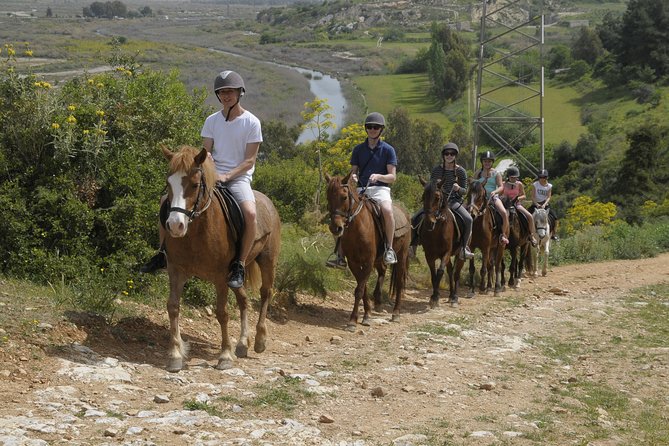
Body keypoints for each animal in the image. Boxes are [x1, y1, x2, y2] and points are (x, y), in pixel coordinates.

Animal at [160, 145, 280, 372]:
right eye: (168, 183)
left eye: (195, 184)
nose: (175, 225)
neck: (197, 231)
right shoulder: (176, 269)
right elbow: (173, 307)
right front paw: (175, 355)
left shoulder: (219, 276)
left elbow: (222, 313)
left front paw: (224, 356)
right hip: (235, 277)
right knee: (244, 300)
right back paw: (242, 343)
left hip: (267, 261)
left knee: (265, 293)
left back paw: (260, 340)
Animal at [326, 173, 410, 332]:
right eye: (328, 197)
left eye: (344, 197)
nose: (336, 228)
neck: (358, 227)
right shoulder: (354, 262)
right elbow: (362, 287)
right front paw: (367, 314)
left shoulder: (368, 261)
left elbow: (359, 289)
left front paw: (352, 321)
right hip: (379, 260)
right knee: (382, 271)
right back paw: (378, 301)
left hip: (402, 256)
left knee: (399, 282)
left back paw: (396, 313)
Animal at [418, 178, 464, 306]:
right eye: (423, 196)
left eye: (437, 197)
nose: (429, 222)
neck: (436, 231)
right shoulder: (429, 254)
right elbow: (433, 274)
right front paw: (434, 296)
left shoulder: (446, 253)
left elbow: (440, 272)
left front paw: (435, 297)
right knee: (450, 270)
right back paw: (451, 295)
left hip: (460, 254)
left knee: (456, 273)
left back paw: (455, 297)